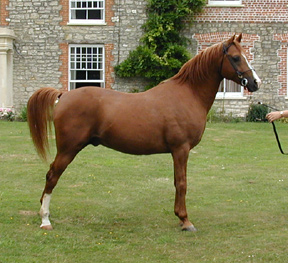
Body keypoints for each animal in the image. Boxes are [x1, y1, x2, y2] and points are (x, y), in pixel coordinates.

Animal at [27, 34, 260, 232]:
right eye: (236, 57)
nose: (255, 82)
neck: (188, 94)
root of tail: (63, 95)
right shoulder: (181, 149)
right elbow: (181, 183)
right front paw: (185, 220)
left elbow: (177, 182)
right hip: (68, 149)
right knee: (52, 176)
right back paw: (45, 219)